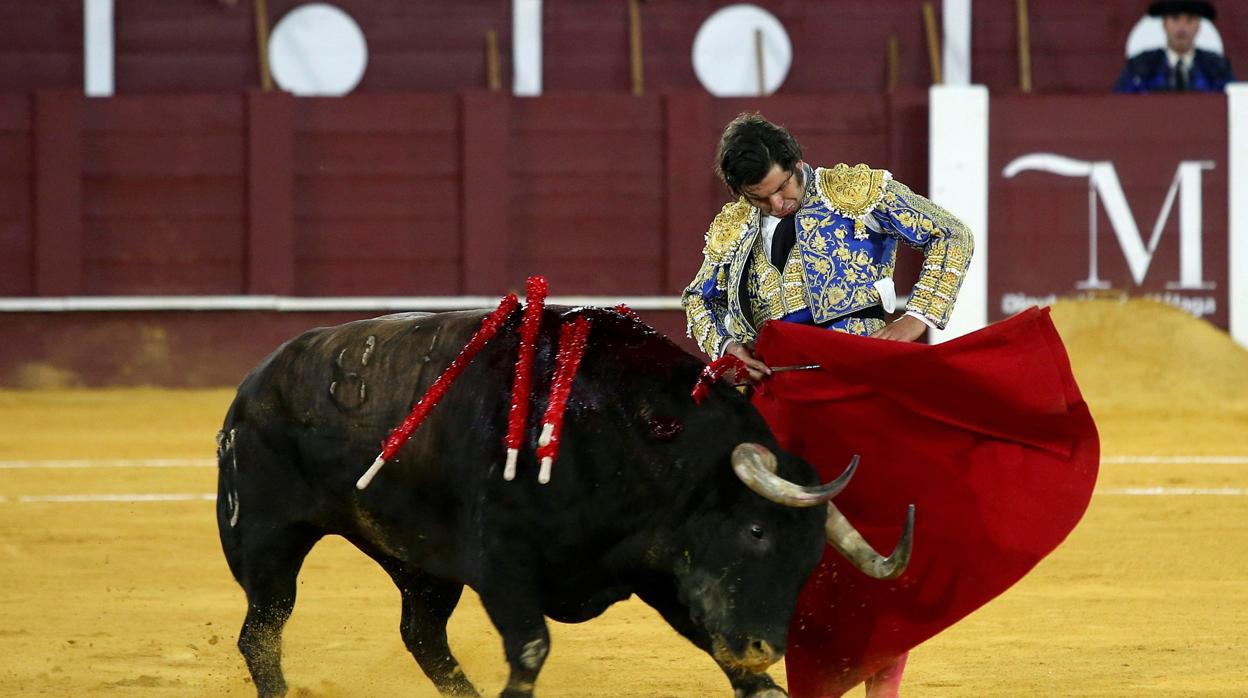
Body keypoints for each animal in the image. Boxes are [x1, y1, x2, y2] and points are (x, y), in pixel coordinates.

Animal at [217, 308, 908, 694]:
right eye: (757, 533)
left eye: (813, 558)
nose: (764, 647)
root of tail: (253, 384)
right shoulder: (503, 567)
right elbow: (530, 652)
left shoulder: (666, 571)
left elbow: (747, 679)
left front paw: (756, 673)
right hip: (266, 541)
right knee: (262, 634)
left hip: (420, 565)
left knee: (422, 636)